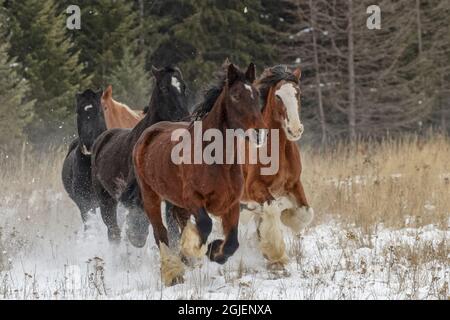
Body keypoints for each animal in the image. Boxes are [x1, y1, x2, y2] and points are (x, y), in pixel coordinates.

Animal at [91, 65, 190, 248]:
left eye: (184, 87)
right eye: (164, 88)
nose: (184, 118)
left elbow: (173, 233)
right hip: (106, 200)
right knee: (114, 232)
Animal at [132, 62, 268, 284]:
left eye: (256, 94)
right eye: (236, 95)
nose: (259, 133)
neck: (217, 159)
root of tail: (148, 133)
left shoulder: (231, 204)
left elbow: (232, 243)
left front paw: (214, 251)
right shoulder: (193, 199)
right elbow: (205, 224)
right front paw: (193, 249)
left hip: (175, 201)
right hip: (150, 196)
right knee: (161, 233)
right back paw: (173, 271)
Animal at [241, 66, 314, 268]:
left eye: (298, 93)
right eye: (278, 96)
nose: (295, 129)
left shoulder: (294, 184)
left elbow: (306, 212)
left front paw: (288, 215)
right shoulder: (253, 187)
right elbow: (272, 208)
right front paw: (277, 255)